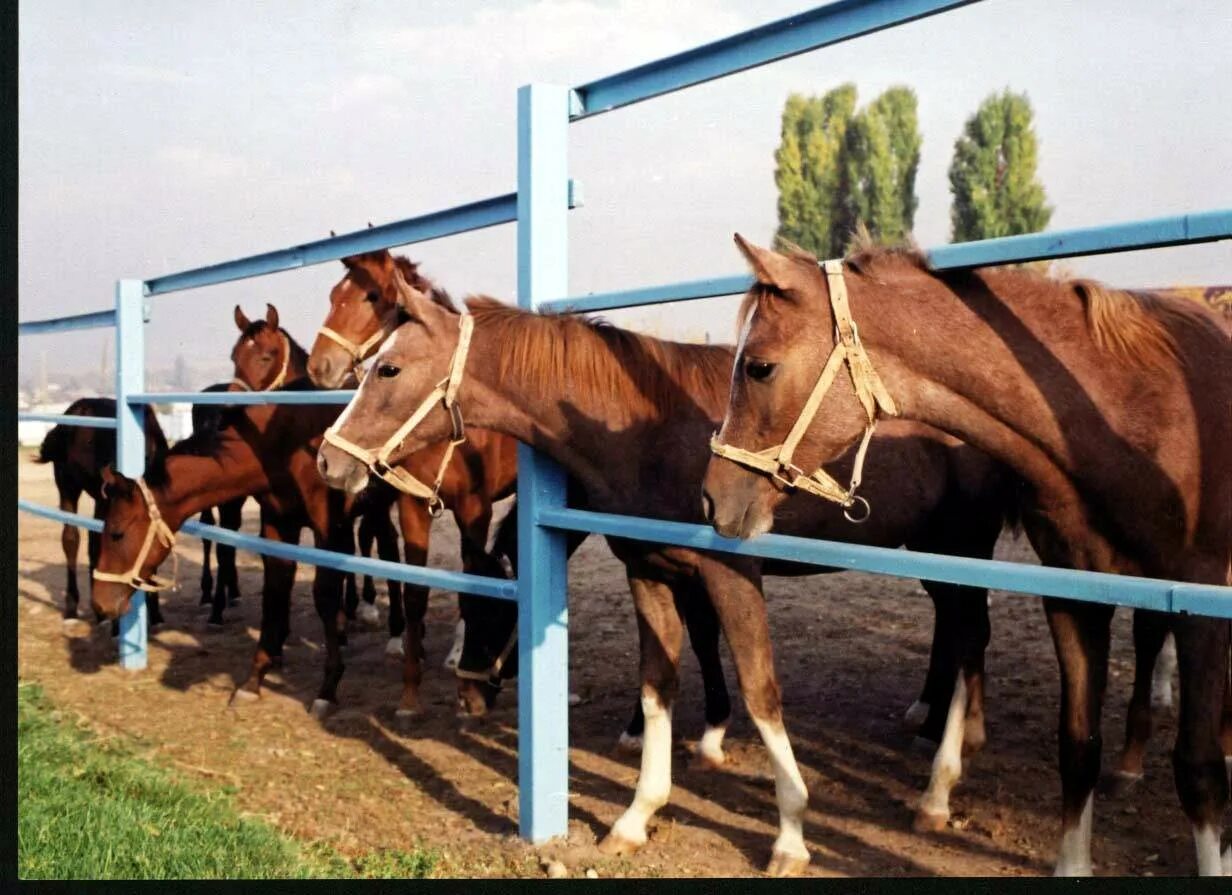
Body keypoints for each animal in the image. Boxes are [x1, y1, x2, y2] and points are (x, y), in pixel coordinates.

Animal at [312, 274, 1025, 877]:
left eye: (388, 368)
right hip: (934, 551)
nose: (326, 460)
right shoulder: (649, 573)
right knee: (964, 633)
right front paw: (635, 817)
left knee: (969, 636)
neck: (650, 431)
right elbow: (660, 686)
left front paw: (790, 836)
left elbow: (762, 692)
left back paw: (938, 788)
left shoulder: (733, 575)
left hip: (958, 544)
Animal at [704, 236, 1232, 877]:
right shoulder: (1073, 598)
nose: (713, 497)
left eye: (759, 366)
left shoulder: (1202, 606)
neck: (1125, 417)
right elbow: (1077, 745)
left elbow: (1200, 770)